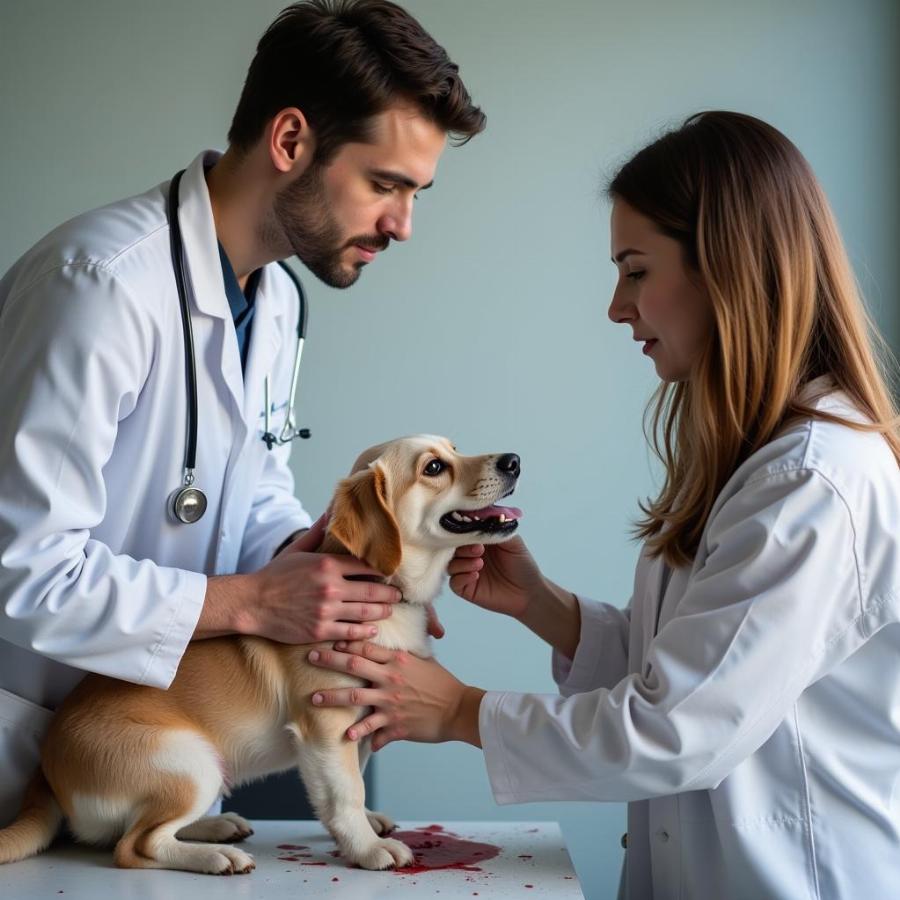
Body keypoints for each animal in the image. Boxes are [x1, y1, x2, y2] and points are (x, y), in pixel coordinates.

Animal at [0, 436, 520, 872]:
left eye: (455, 449)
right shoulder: (328, 728)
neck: (386, 590)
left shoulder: (361, 725)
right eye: (434, 467)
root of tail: (46, 769)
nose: (513, 460)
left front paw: (365, 827)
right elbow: (345, 793)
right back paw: (215, 857)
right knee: (135, 845)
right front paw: (367, 848)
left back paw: (214, 827)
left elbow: (353, 778)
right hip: (191, 761)